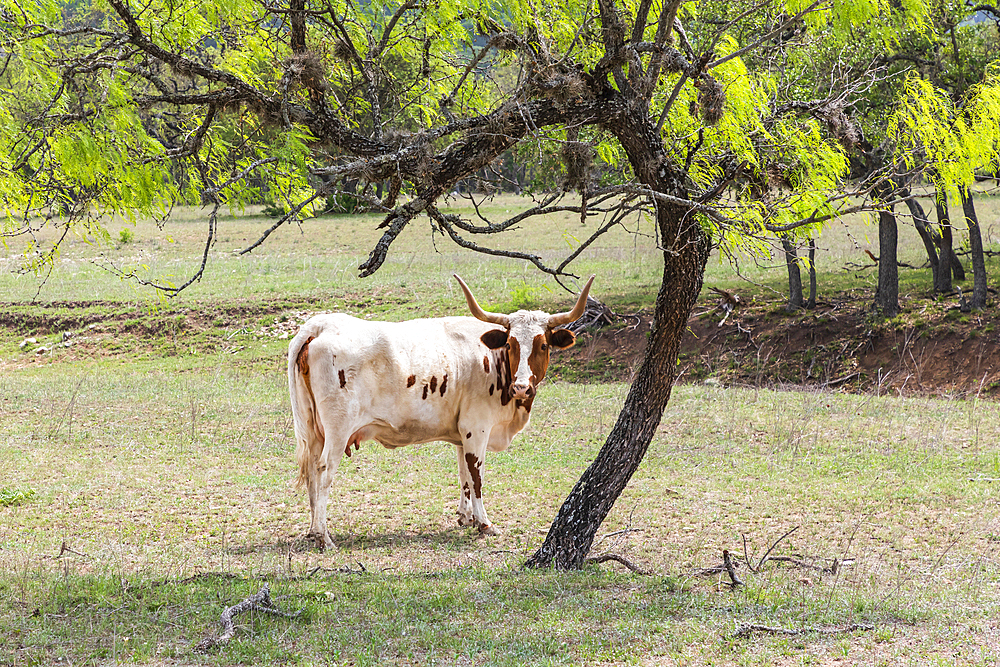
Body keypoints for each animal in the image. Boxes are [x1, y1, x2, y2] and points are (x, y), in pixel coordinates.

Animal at [288, 272, 592, 548]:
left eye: (543, 344)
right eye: (510, 343)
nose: (521, 387)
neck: (491, 359)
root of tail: (320, 325)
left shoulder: (462, 432)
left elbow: (464, 473)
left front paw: (466, 517)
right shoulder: (477, 427)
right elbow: (477, 474)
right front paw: (484, 523)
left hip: (314, 429)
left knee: (312, 471)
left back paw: (313, 530)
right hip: (338, 430)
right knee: (324, 470)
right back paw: (324, 536)